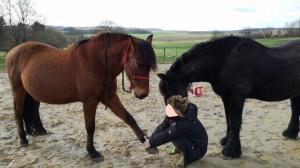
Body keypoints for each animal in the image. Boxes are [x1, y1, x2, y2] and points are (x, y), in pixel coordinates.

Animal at [5, 32, 157, 161]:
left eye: (150, 66)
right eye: (138, 63)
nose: (143, 93)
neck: (98, 63)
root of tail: (12, 52)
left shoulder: (110, 98)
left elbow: (129, 118)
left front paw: (147, 143)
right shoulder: (89, 102)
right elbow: (90, 127)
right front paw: (92, 152)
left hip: (32, 93)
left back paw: (40, 131)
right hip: (18, 90)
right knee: (18, 113)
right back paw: (23, 139)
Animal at [157, 35, 300, 159]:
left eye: (171, 96)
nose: (173, 123)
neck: (224, 61)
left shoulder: (237, 95)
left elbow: (235, 121)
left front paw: (231, 151)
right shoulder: (226, 97)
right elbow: (228, 119)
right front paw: (226, 141)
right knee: (295, 110)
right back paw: (290, 133)